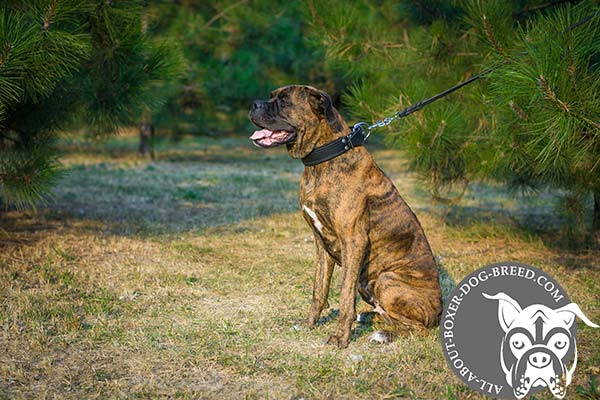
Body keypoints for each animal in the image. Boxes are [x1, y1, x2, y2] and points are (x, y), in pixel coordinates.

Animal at [247, 84, 440, 346]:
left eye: (284, 101)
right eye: (271, 96)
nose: (253, 104)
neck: (323, 159)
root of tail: (440, 312)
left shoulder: (353, 241)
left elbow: (345, 296)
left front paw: (340, 337)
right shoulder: (320, 243)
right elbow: (319, 290)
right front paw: (309, 324)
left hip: (387, 279)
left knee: (418, 329)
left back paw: (383, 335)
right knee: (388, 316)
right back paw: (369, 317)